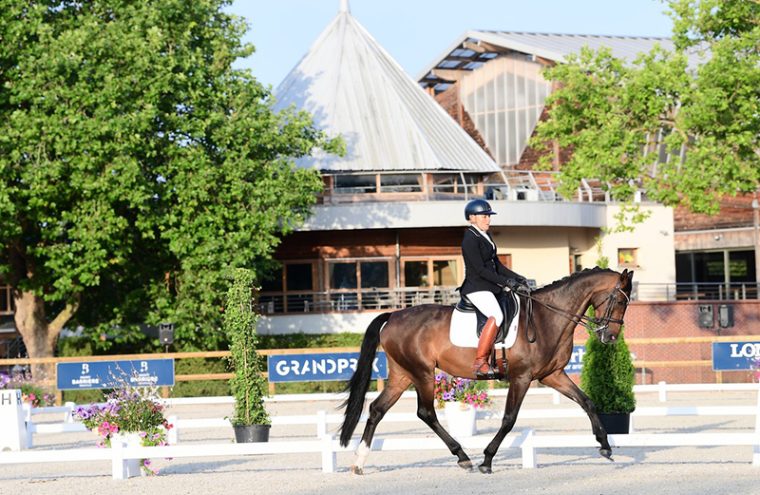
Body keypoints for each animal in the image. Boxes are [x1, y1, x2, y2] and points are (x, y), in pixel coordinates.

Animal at [340, 268, 636, 476]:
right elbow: (509, 419)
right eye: (620, 302)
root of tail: (392, 316)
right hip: (422, 373)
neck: (546, 319)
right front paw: (487, 459)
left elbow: (587, 402)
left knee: (377, 409)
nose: (610, 337)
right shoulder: (521, 378)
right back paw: (463, 457)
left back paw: (359, 462)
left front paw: (605, 445)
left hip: (402, 374)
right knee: (425, 412)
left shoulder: (552, 375)